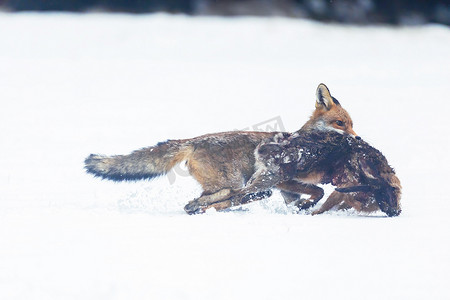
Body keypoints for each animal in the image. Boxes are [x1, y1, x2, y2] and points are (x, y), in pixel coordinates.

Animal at [84, 82, 358, 213]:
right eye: (340, 123)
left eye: (353, 124)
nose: (357, 138)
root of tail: (194, 141)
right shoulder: (284, 180)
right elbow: (318, 192)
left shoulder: (287, 189)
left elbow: (307, 198)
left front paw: (303, 209)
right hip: (234, 182)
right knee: (214, 198)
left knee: (207, 200)